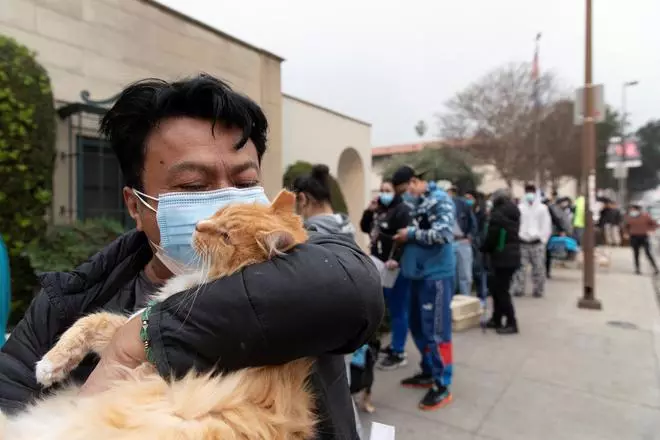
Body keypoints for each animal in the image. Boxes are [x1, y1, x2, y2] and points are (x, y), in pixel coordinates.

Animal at [0, 190, 316, 440]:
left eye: (226, 236)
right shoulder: (131, 324)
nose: (198, 225)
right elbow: (87, 321)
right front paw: (50, 366)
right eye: (219, 212)